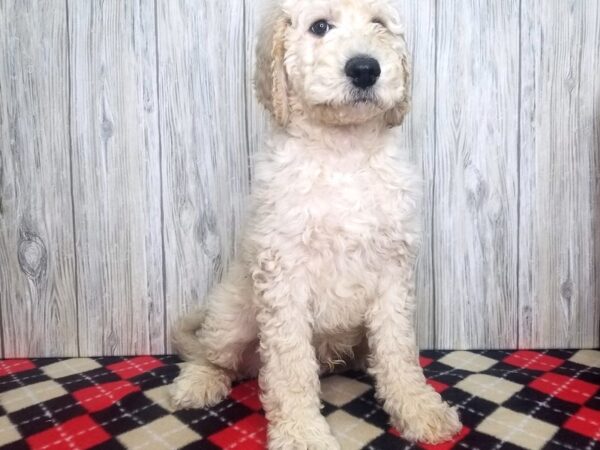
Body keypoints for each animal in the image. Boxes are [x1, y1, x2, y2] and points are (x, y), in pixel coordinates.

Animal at [171, 0, 462, 446]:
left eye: (379, 24)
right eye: (320, 27)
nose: (365, 68)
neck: (343, 152)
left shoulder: (392, 272)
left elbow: (398, 350)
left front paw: (418, 407)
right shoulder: (283, 275)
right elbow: (290, 365)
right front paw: (302, 434)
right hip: (232, 317)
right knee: (212, 354)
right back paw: (199, 382)